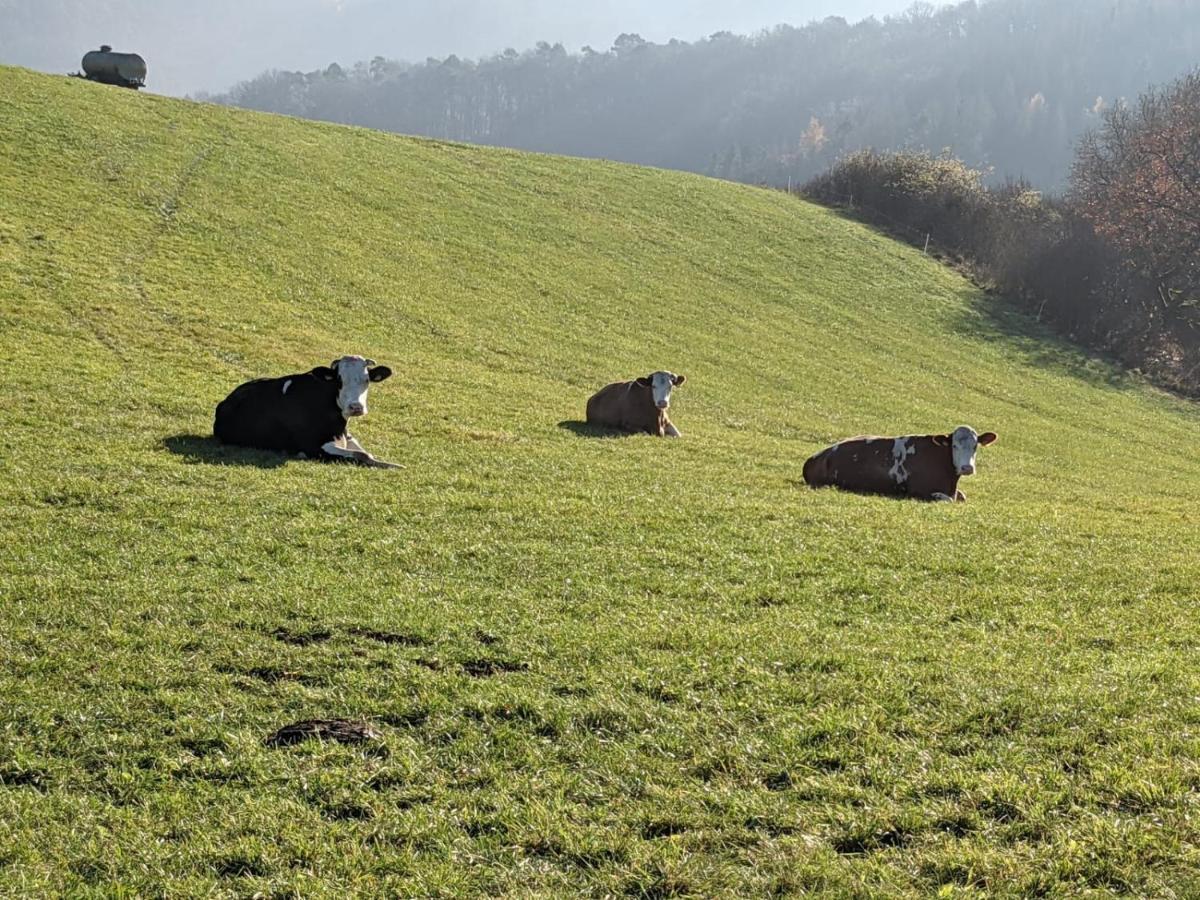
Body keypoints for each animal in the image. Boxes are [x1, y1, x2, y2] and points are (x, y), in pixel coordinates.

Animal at [213, 355, 400, 468]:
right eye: (339, 380)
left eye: (366, 380)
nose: (356, 407)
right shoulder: (313, 447)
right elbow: (362, 455)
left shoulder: (347, 437)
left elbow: (366, 452)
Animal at [801, 427, 998, 504]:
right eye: (954, 446)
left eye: (975, 446)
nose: (967, 468)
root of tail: (815, 457)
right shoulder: (918, 491)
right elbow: (949, 500)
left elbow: (962, 497)